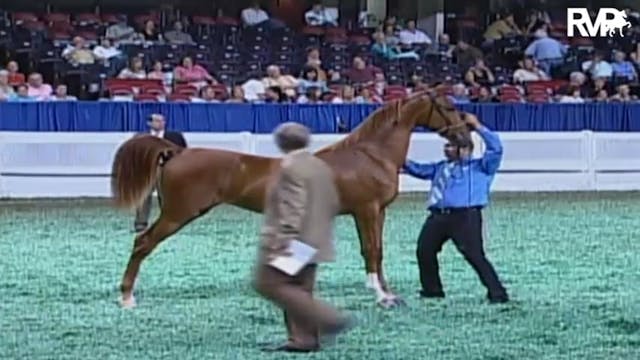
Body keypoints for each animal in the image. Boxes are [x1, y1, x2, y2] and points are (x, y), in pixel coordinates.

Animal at [111, 91, 470, 308]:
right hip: (177, 214)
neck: (368, 154)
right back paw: (127, 297)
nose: (466, 138)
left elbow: (374, 251)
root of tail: (176, 151)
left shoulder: (374, 213)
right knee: (142, 243)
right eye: (449, 107)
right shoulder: (366, 211)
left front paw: (384, 290)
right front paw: (382, 296)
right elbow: (372, 250)